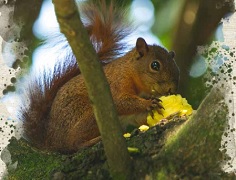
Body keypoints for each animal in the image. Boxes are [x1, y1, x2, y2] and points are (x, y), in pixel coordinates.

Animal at [20, 0, 179, 153]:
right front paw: (149, 103)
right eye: (155, 65)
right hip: (90, 115)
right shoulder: (116, 83)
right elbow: (121, 102)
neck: (130, 71)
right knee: (74, 145)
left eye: (177, 69)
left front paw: (166, 118)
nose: (171, 89)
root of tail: (52, 142)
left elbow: (140, 117)